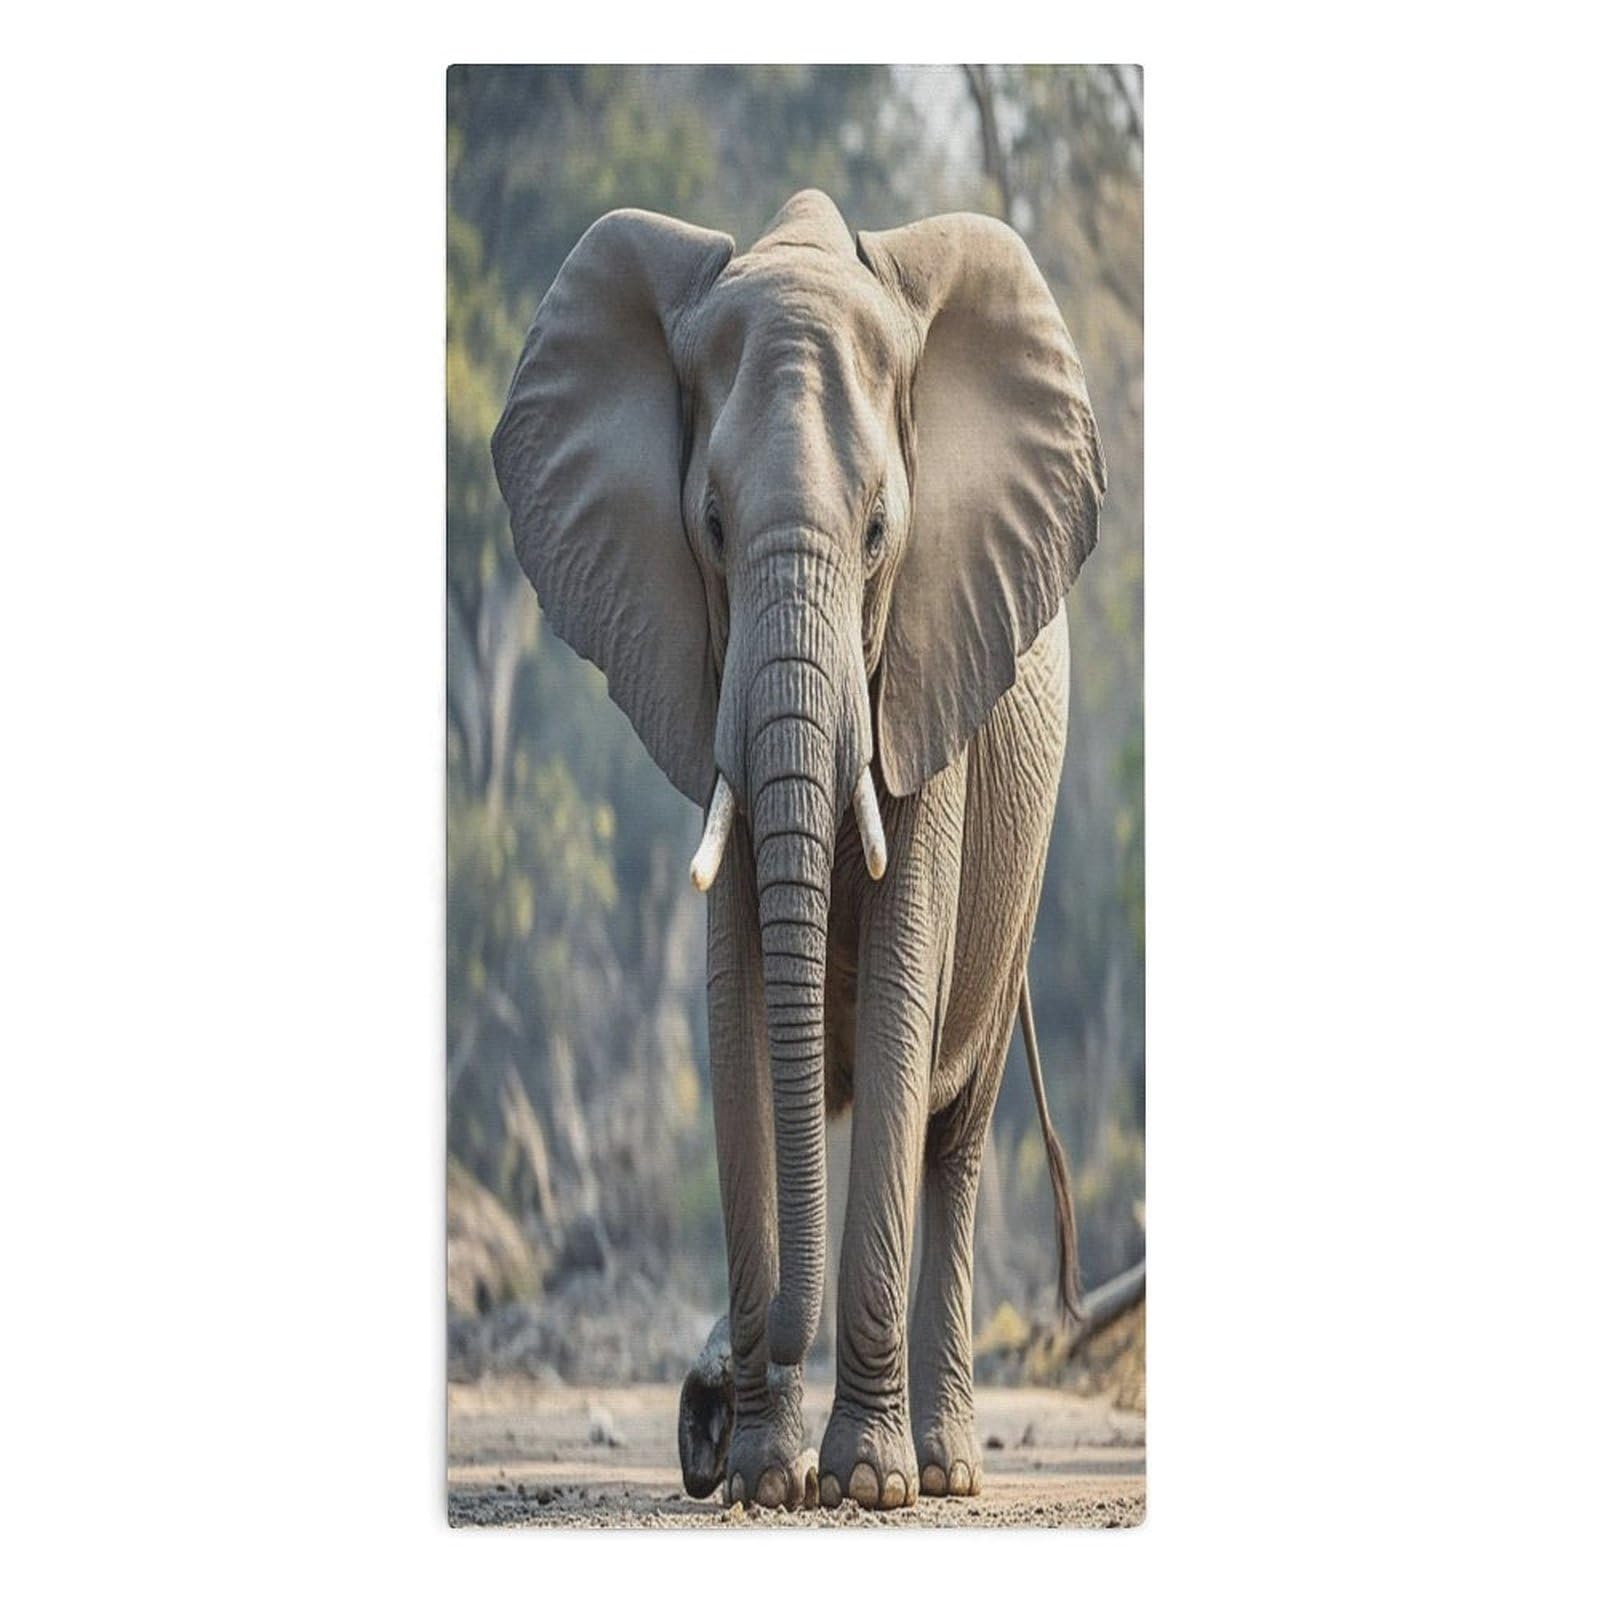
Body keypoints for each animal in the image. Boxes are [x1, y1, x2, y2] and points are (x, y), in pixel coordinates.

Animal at [492, 189, 1106, 1512]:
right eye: (711, 529)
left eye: (879, 533)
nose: (702, 1408)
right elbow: (737, 1018)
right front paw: (769, 1481)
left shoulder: (930, 668)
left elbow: (899, 993)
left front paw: (863, 1485)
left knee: (952, 1133)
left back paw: (944, 1471)